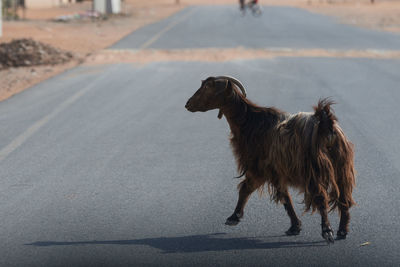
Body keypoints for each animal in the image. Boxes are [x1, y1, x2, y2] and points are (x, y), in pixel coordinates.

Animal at [185, 76, 356, 245]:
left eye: (208, 86)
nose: (188, 104)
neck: (250, 121)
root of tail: (326, 126)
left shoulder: (260, 168)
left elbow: (248, 188)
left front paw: (234, 217)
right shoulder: (276, 172)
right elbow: (283, 196)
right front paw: (295, 227)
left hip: (313, 170)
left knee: (321, 197)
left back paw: (327, 231)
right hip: (341, 168)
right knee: (344, 199)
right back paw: (342, 231)